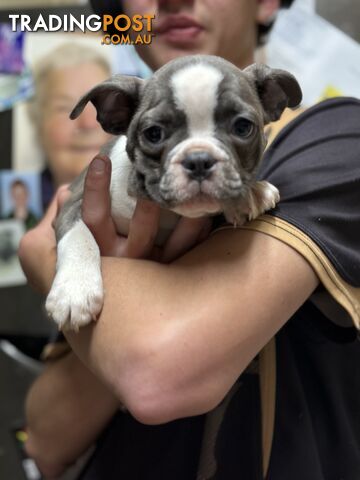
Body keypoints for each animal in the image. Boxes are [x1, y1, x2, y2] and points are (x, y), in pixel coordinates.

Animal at [46, 53, 302, 330]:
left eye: (243, 127)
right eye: (153, 134)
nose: (199, 160)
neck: (167, 212)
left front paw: (249, 194)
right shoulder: (74, 201)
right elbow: (79, 235)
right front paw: (75, 290)